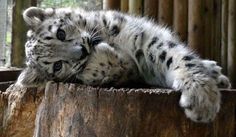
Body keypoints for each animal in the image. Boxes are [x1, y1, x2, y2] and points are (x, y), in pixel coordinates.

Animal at [16, 7, 230, 123]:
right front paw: (97, 63)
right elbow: (123, 68)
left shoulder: (143, 38)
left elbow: (173, 55)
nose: (82, 51)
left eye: (60, 33)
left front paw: (201, 97)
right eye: (57, 66)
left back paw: (215, 73)